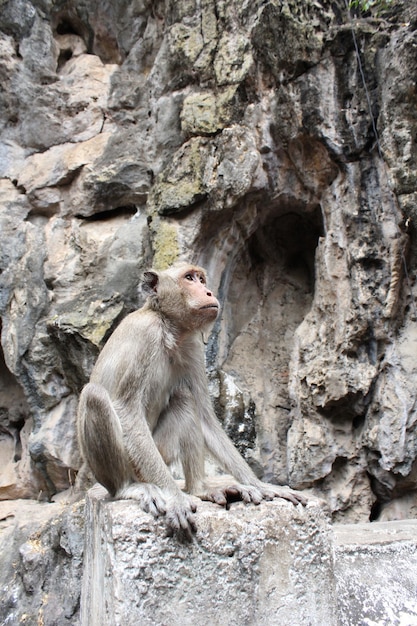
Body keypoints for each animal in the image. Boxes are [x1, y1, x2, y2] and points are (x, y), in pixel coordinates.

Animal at [77, 262, 306, 536]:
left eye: (200, 278)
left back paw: (199, 489)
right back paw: (129, 488)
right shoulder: (146, 336)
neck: (169, 327)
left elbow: (206, 419)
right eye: (189, 278)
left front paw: (261, 485)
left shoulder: (193, 347)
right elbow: (128, 411)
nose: (208, 292)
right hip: (135, 464)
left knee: (184, 398)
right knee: (95, 396)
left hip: (160, 452)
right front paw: (175, 498)